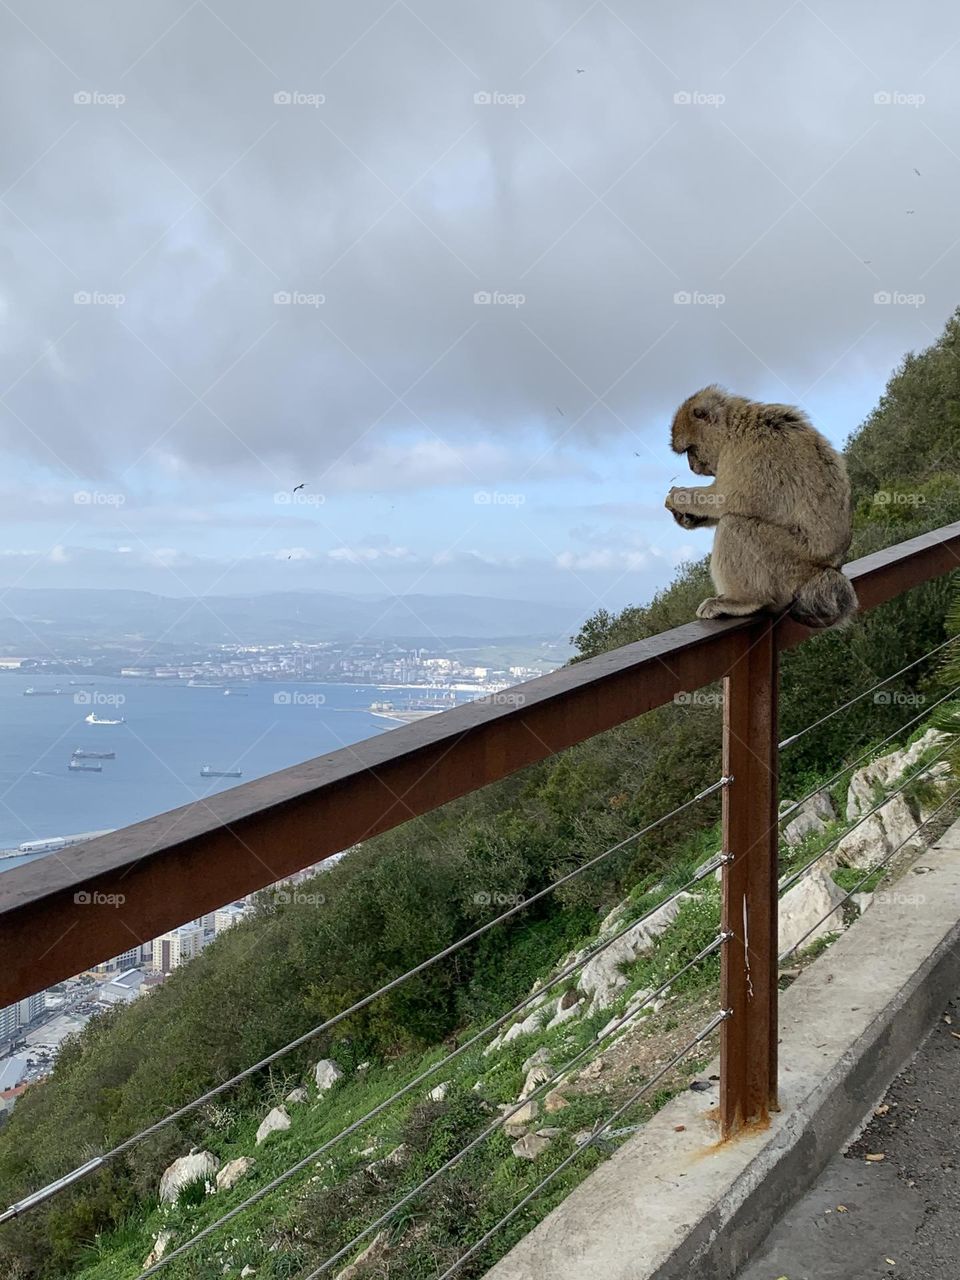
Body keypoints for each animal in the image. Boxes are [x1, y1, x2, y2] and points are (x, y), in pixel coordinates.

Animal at [664, 386, 858, 628]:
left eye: (690, 449)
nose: (692, 466)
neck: (734, 426)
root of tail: (828, 568)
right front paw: (684, 517)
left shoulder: (746, 452)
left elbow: (723, 500)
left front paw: (678, 497)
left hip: (788, 564)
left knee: (734, 525)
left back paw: (744, 600)